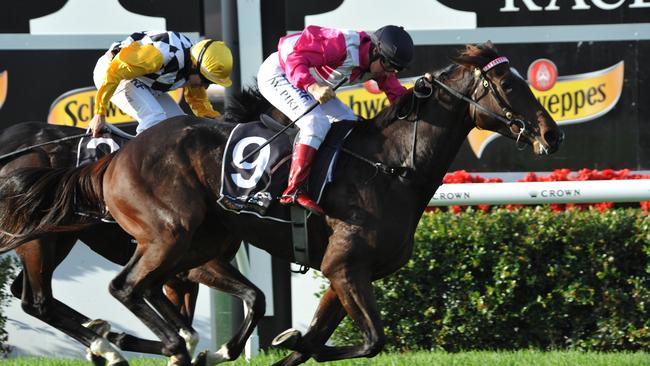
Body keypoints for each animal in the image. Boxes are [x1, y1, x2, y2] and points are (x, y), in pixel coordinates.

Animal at [0, 42, 560, 364]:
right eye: (506, 83)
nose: (550, 134)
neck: (390, 166)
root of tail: (113, 158)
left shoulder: (343, 273)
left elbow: (319, 341)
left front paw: (285, 341)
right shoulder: (344, 265)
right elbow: (368, 340)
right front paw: (271, 341)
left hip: (183, 243)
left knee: (67, 295)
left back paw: (129, 341)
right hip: (153, 236)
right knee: (91, 292)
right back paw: (128, 343)